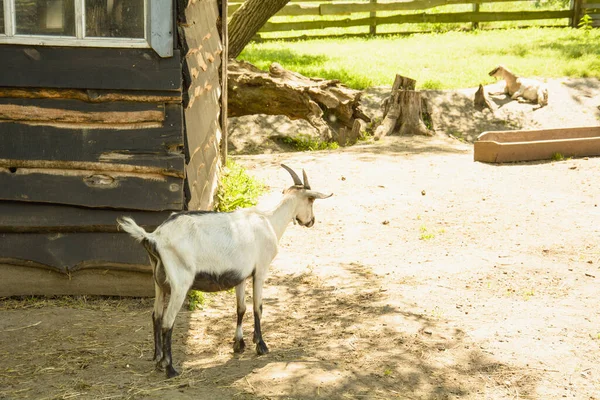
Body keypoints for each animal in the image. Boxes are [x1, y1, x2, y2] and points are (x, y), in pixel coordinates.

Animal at [116, 164, 332, 376]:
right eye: (311, 200)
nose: (311, 221)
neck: (269, 221)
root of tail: (154, 237)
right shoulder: (261, 270)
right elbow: (258, 307)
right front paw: (261, 345)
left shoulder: (241, 276)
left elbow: (241, 308)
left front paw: (239, 344)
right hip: (180, 284)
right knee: (167, 322)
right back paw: (170, 368)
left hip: (159, 282)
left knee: (156, 316)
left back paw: (159, 360)